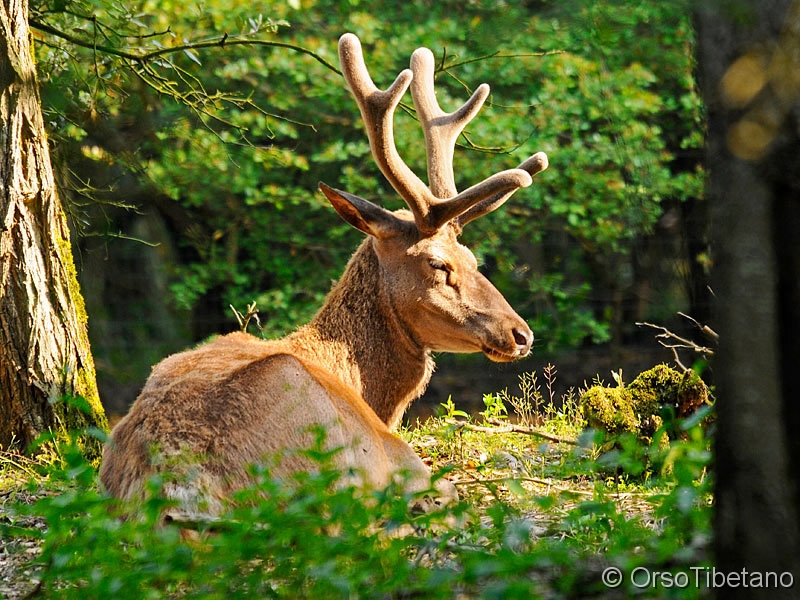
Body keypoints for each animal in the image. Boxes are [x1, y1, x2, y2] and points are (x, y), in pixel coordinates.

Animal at [98, 34, 552, 520]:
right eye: (437, 264)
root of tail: (175, 485)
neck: (365, 389)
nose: (521, 333)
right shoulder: (398, 454)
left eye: (471, 257)